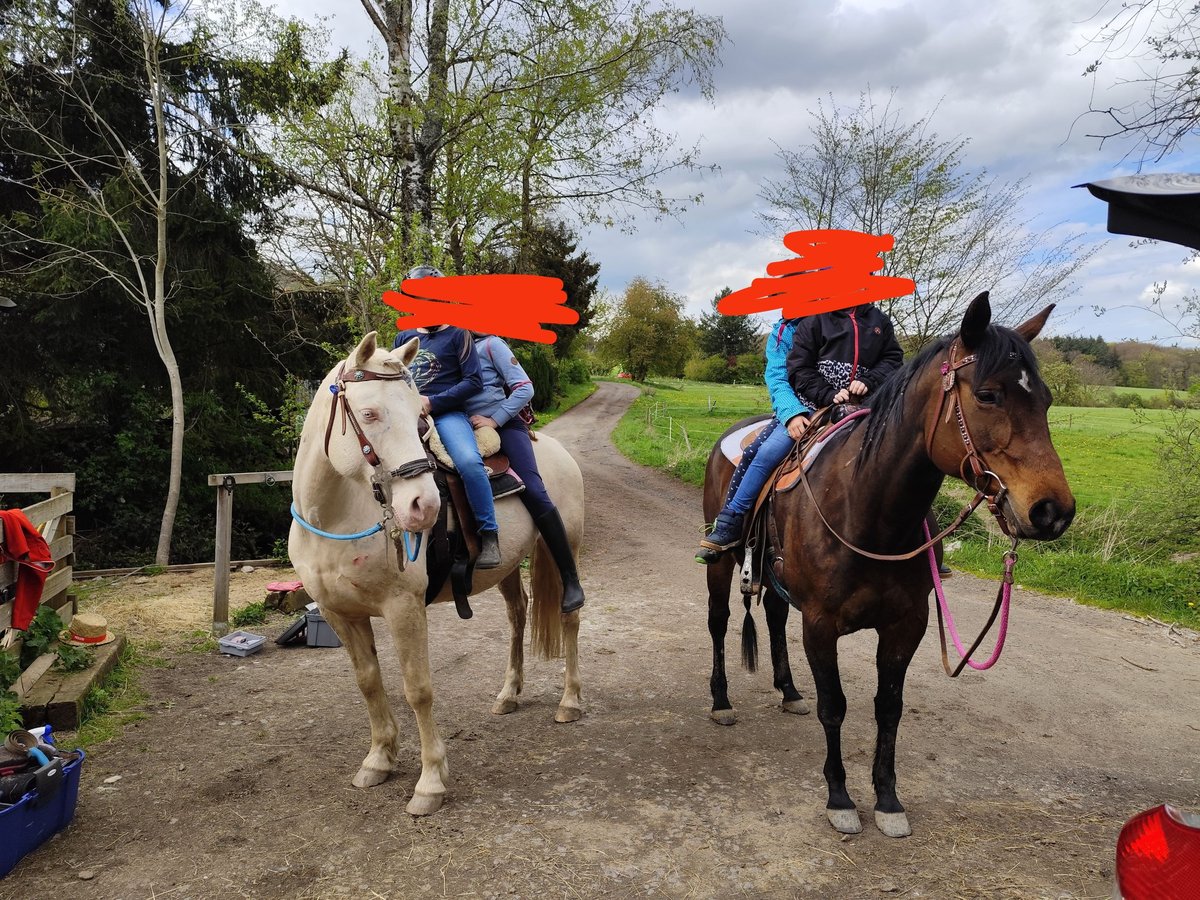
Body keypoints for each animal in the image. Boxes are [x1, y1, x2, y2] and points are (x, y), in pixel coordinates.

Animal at [292, 333, 588, 816]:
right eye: (369, 414)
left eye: (419, 417)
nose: (424, 506)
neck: (335, 519)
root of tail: (555, 449)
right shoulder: (341, 614)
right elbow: (368, 683)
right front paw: (378, 760)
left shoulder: (404, 609)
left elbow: (418, 689)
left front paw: (430, 782)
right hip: (507, 566)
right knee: (518, 616)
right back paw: (509, 694)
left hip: (564, 550)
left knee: (570, 617)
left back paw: (570, 700)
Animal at [700, 294, 1075, 840]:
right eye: (988, 395)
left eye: (1045, 400)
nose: (1053, 511)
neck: (868, 508)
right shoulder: (821, 625)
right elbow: (834, 707)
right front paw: (840, 798)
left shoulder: (906, 625)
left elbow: (889, 709)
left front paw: (888, 801)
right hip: (722, 564)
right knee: (719, 621)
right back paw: (722, 702)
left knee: (772, 614)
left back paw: (788, 690)